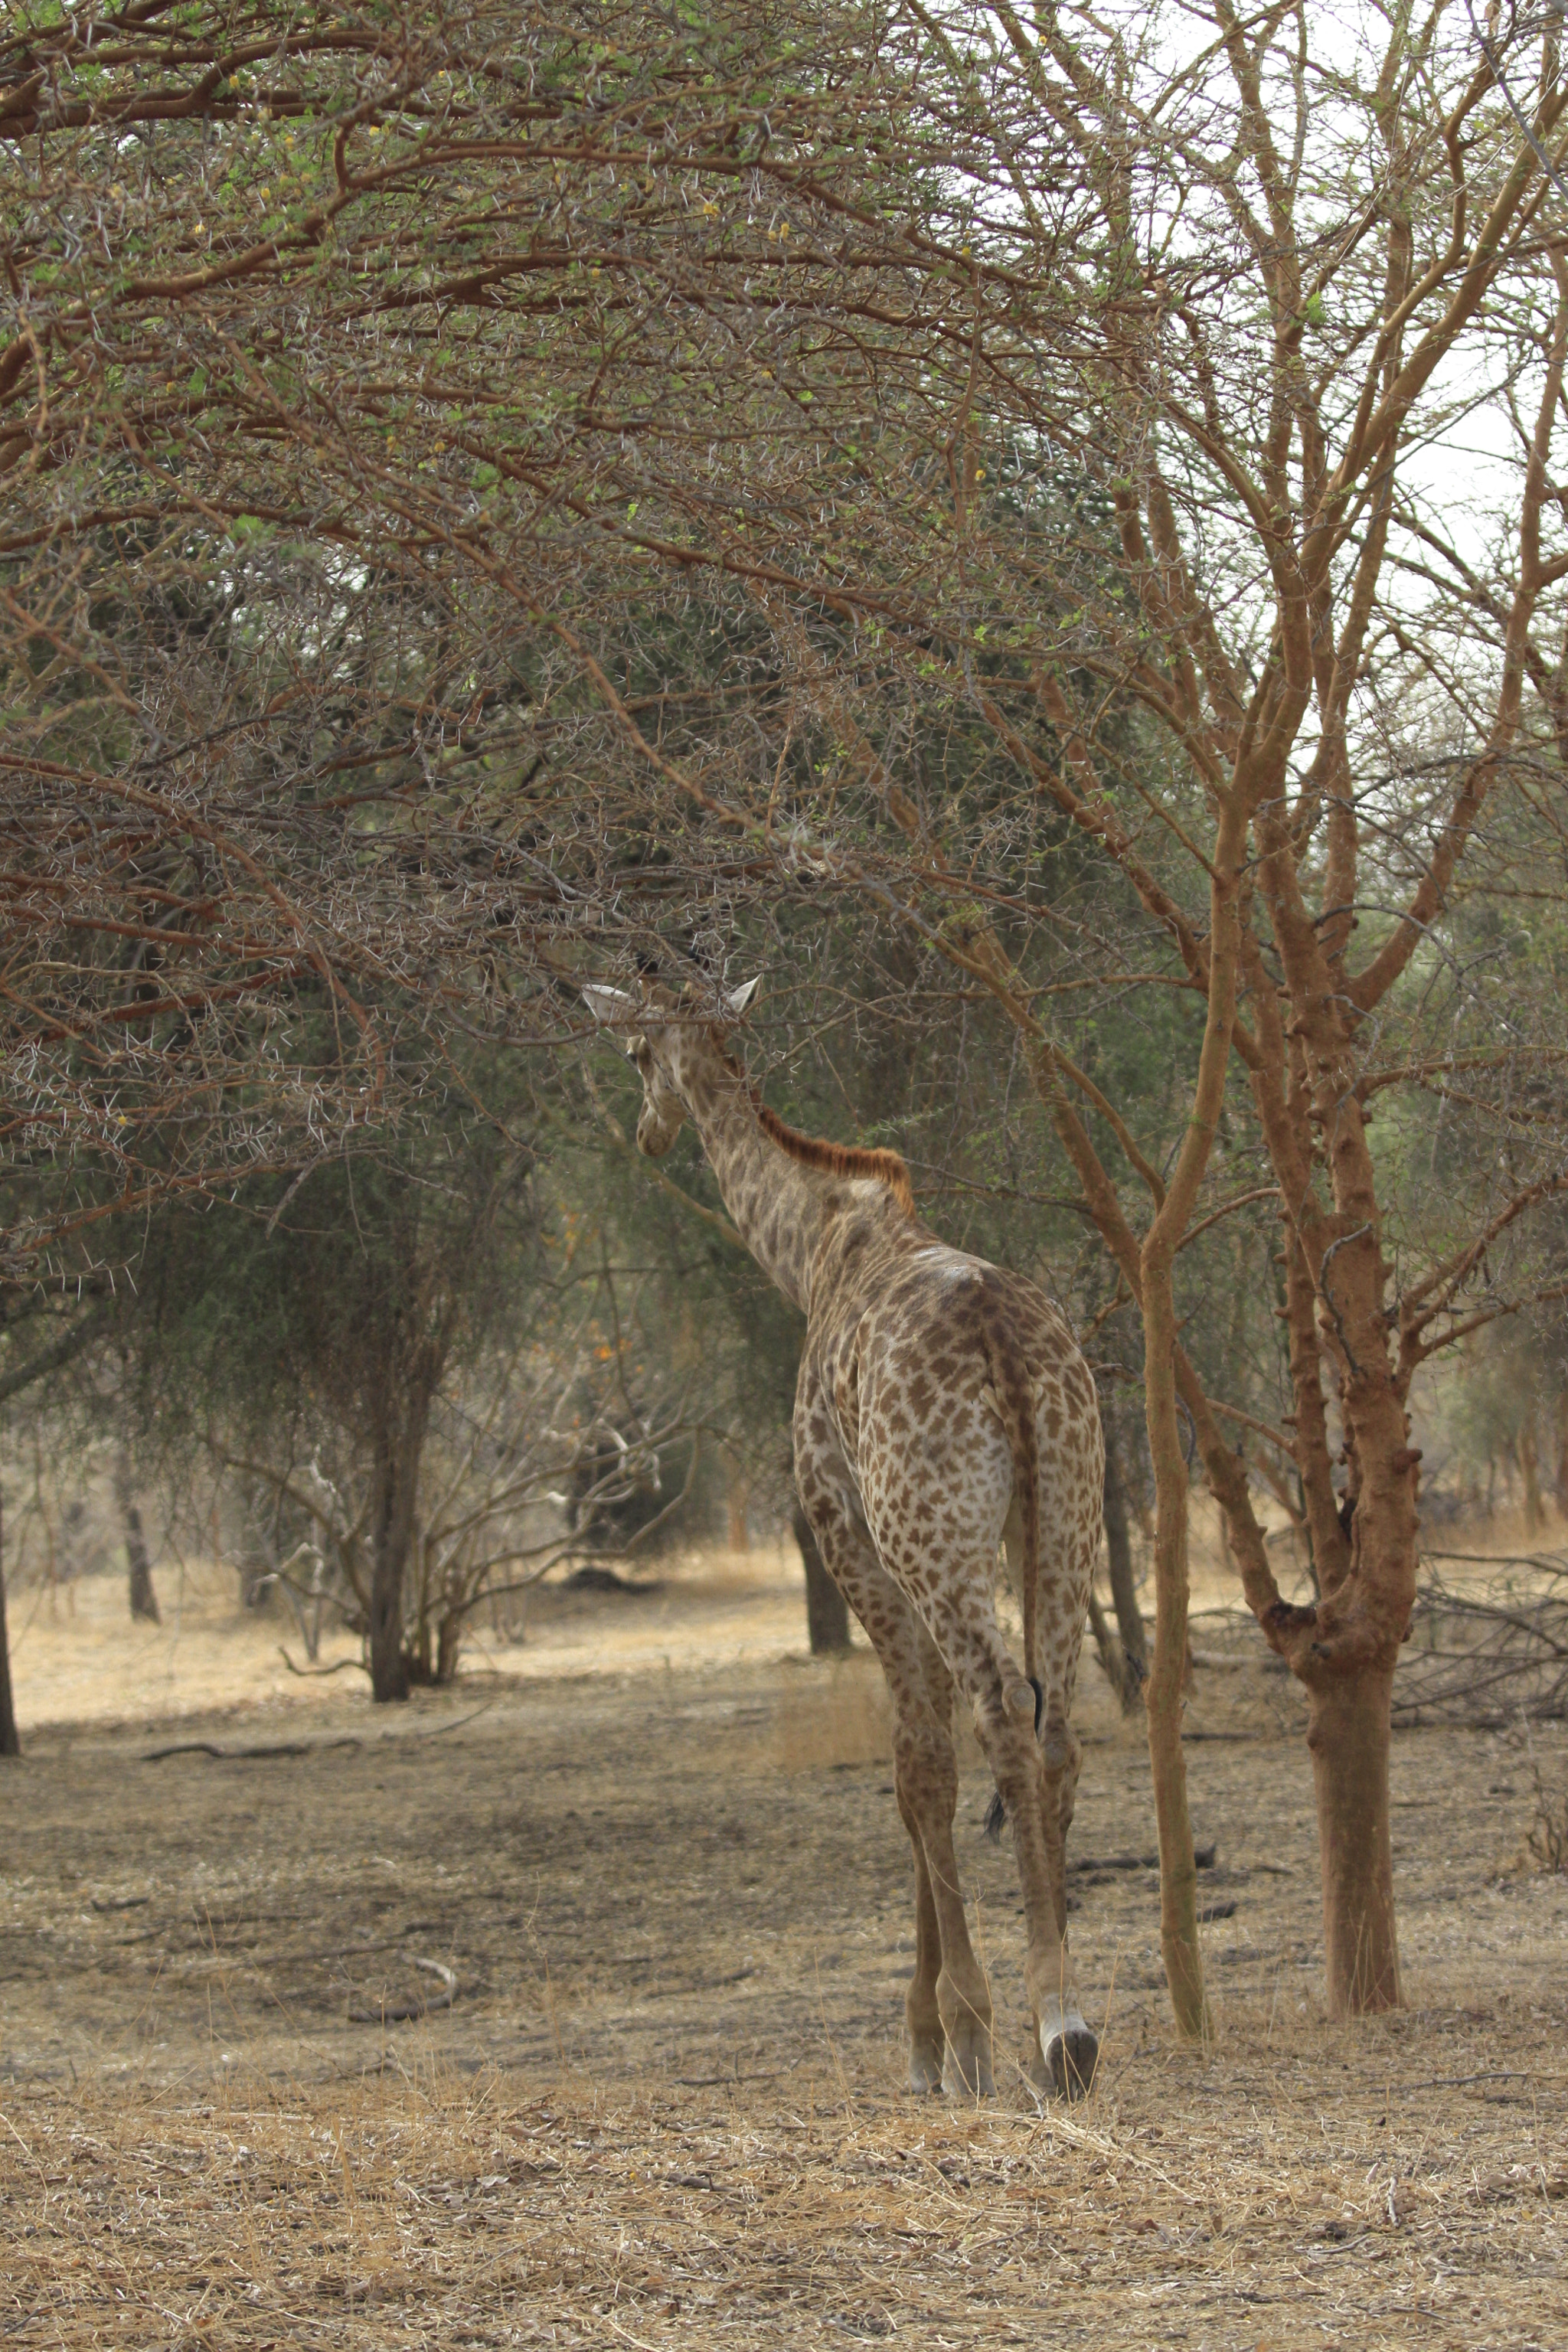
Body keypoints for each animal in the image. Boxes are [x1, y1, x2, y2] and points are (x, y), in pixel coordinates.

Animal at [583, 973, 1109, 2098]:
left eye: (636, 1055)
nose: (649, 1133)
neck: (809, 1247)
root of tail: (1007, 1350)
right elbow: (921, 1768)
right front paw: (935, 2032)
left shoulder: (845, 1532)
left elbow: (916, 1767)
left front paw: (948, 2036)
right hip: (1063, 1519)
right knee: (1055, 1729)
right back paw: (1067, 2014)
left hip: (932, 1531)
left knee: (1002, 1717)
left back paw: (1056, 2030)